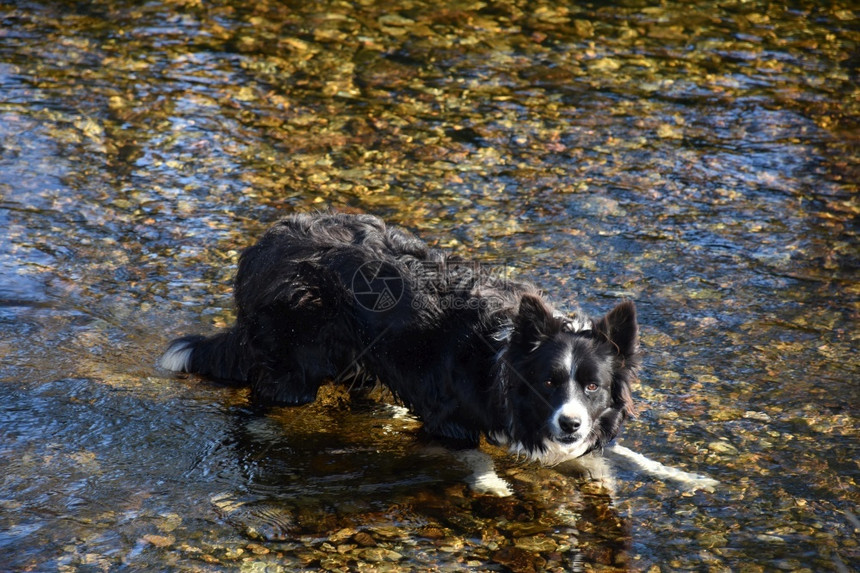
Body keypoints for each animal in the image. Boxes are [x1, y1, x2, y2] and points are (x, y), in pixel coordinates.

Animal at [160, 212, 640, 494]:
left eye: (593, 387)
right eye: (548, 382)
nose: (570, 423)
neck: (501, 361)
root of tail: (261, 249)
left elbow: (601, 458)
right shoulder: (447, 419)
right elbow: (478, 456)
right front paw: (494, 487)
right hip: (295, 361)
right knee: (262, 396)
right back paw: (266, 429)